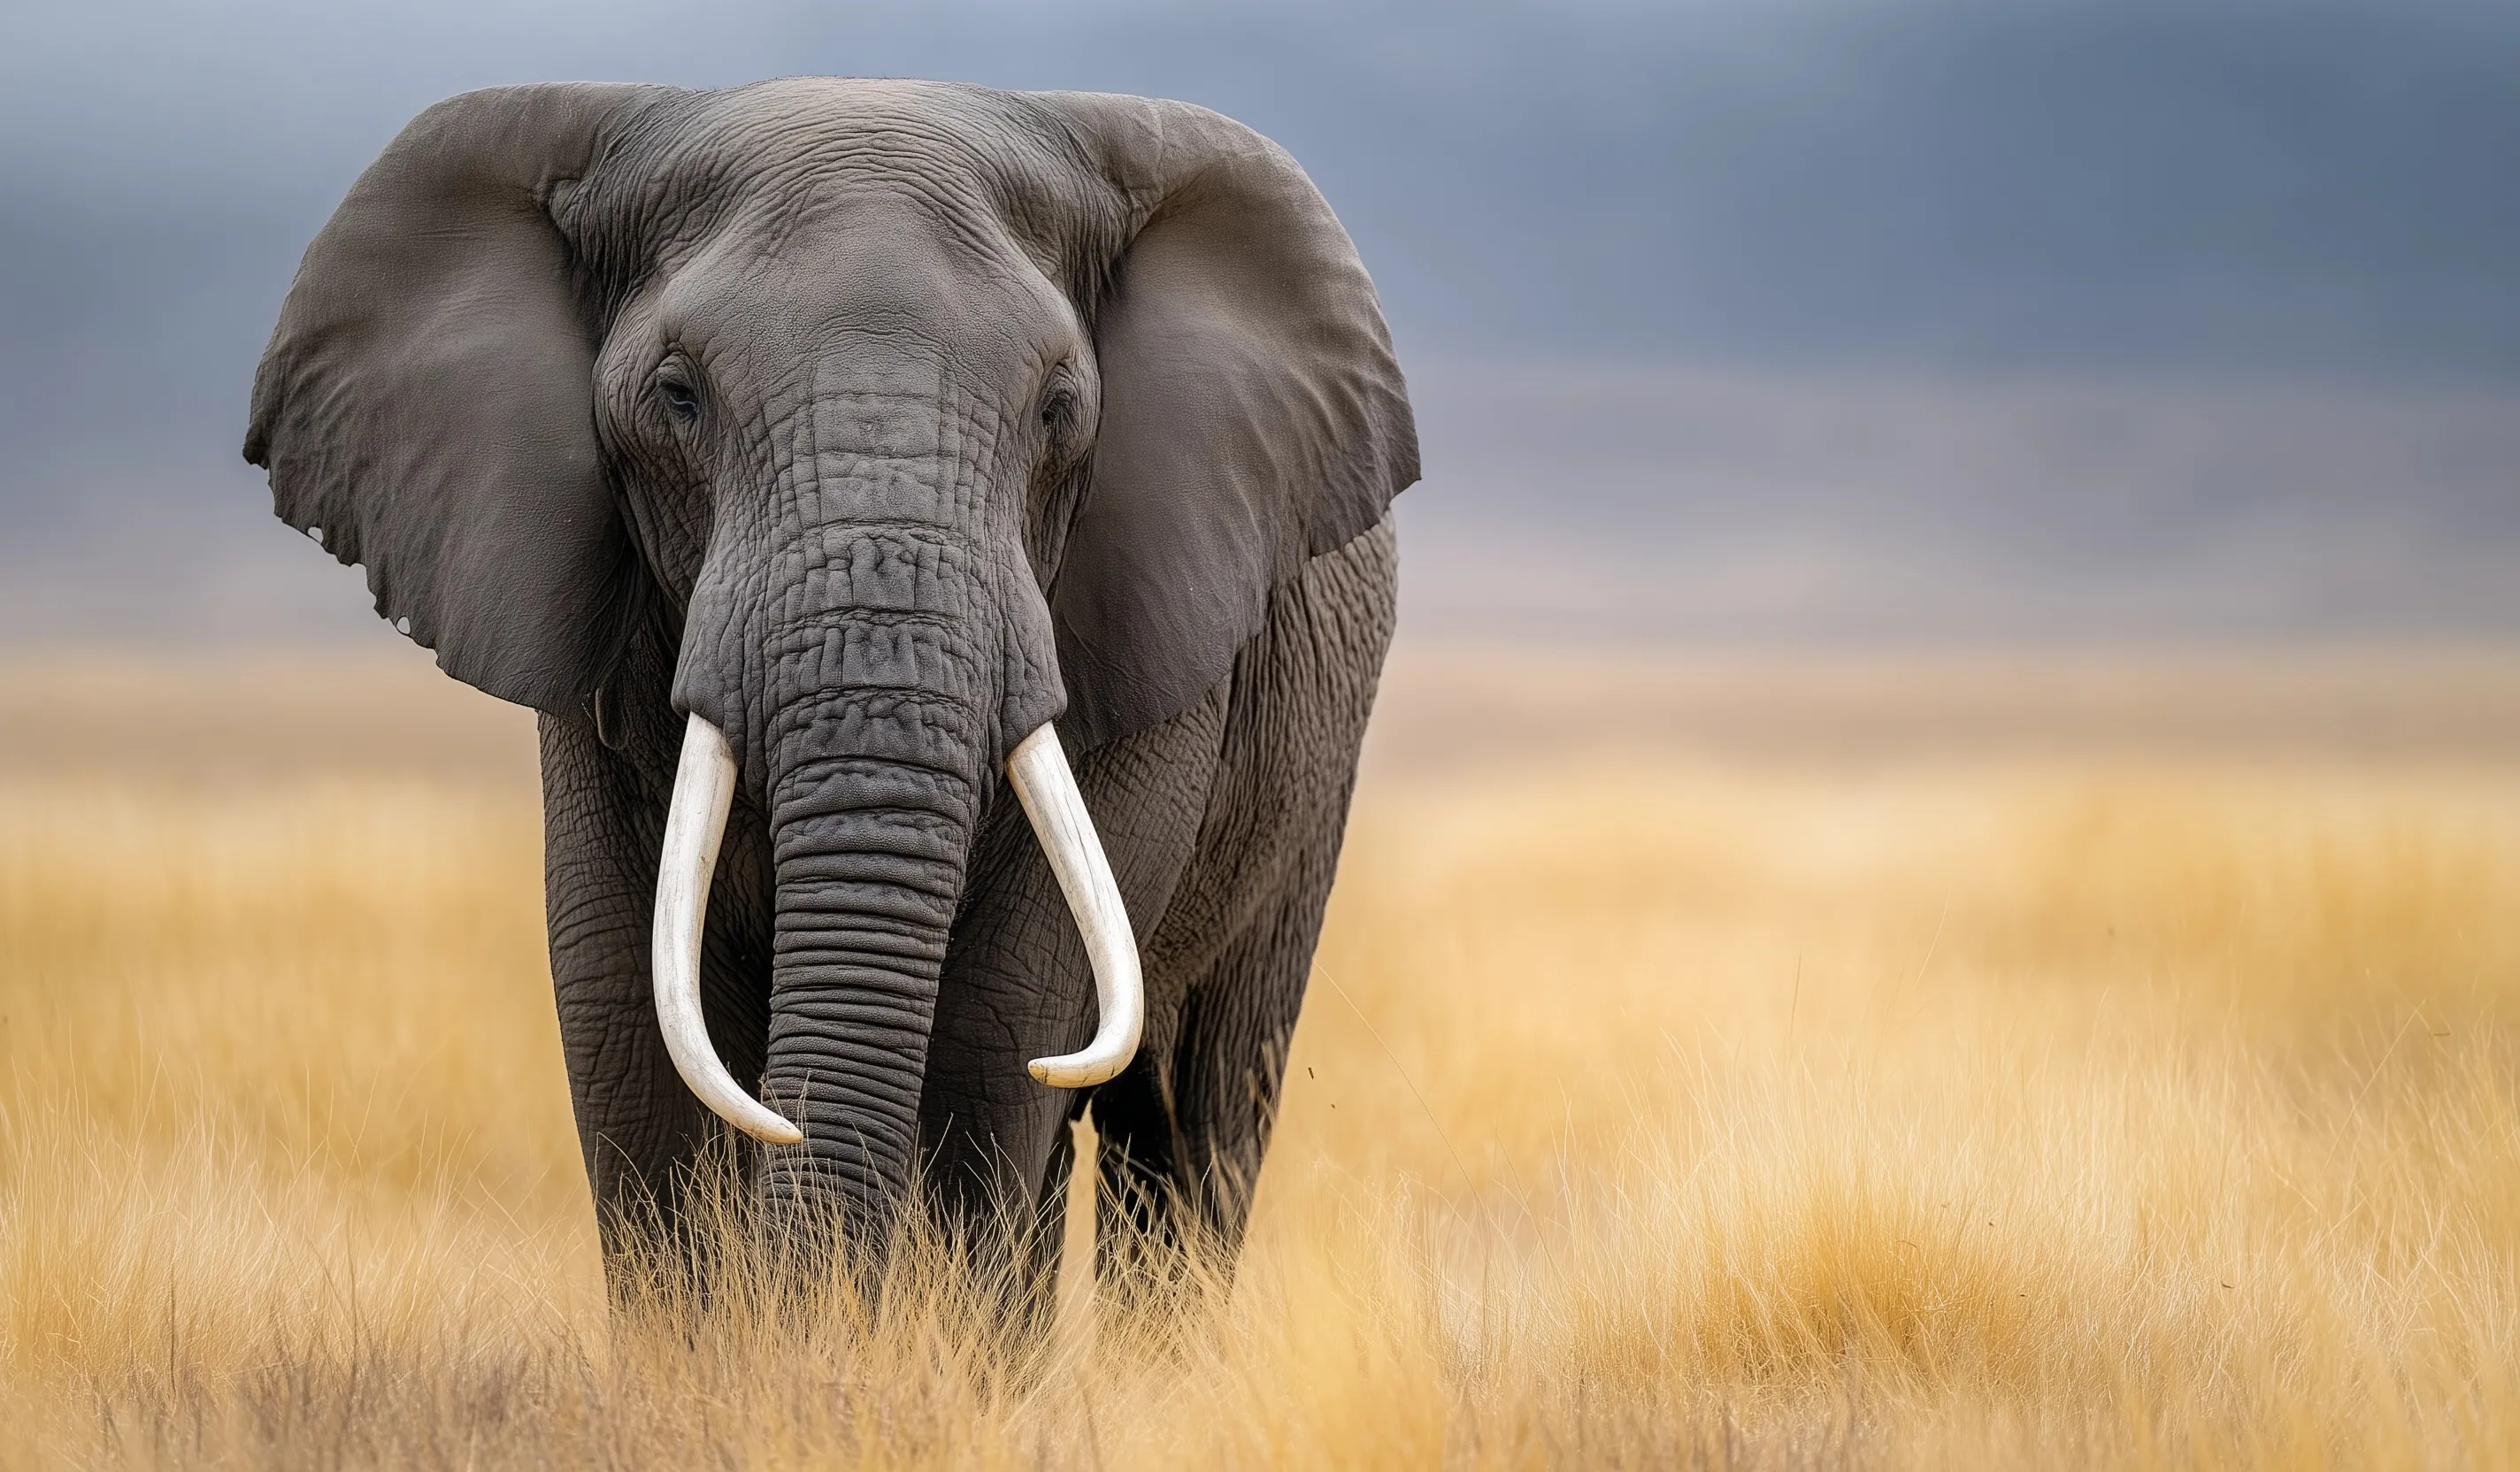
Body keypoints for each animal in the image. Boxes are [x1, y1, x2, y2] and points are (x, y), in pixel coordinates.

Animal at [243, 78, 1417, 1297]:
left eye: (1058, 409)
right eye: (677, 396)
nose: (793, 1126)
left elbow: (1000, 1027)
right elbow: (626, 1020)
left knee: (1195, 1119)